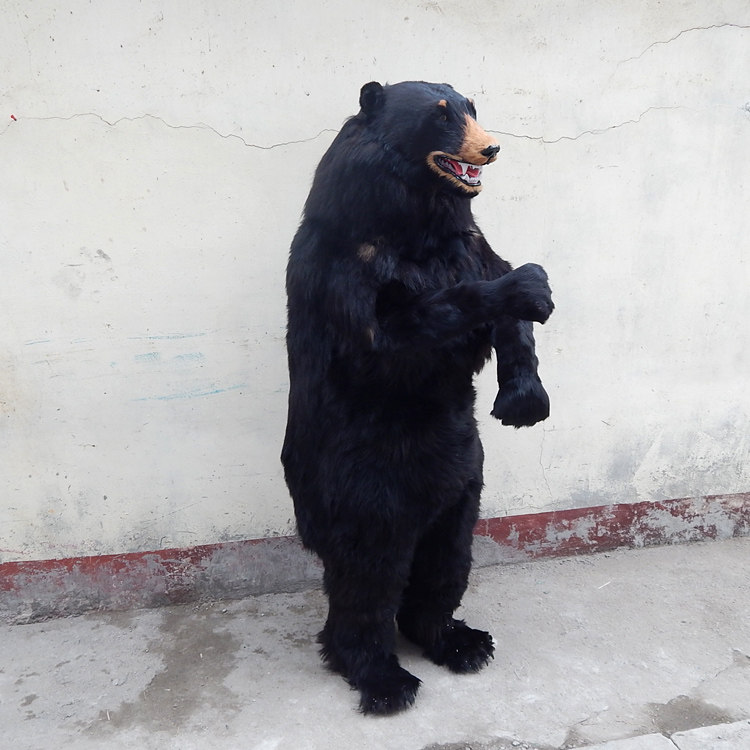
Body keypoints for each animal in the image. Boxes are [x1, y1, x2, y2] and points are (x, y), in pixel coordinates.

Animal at [281, 80, 553, 715]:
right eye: (440, 115)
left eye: (473, 108)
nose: (492, 147)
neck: (418, 223)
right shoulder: (348, 263)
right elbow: (389, 338)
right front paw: (526, 284)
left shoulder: (469, 239)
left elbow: (504, 307)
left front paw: (524, 400)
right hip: (364, 489)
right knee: (368, 579)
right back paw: (382, 677)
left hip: (466, 480)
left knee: (446, 559)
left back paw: (459, 640)